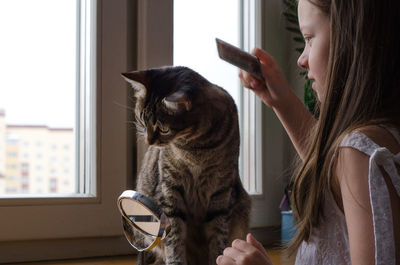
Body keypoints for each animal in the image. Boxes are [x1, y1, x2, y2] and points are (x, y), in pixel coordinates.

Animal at [121, 66, 250, 264]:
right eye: (142, 120)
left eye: (164, 129)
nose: (149, 141)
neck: (196, 148)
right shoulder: (170, 191)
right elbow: (174, 238)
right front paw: (177, 261)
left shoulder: (221, 192)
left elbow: (218, 235)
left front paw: (218, 258)